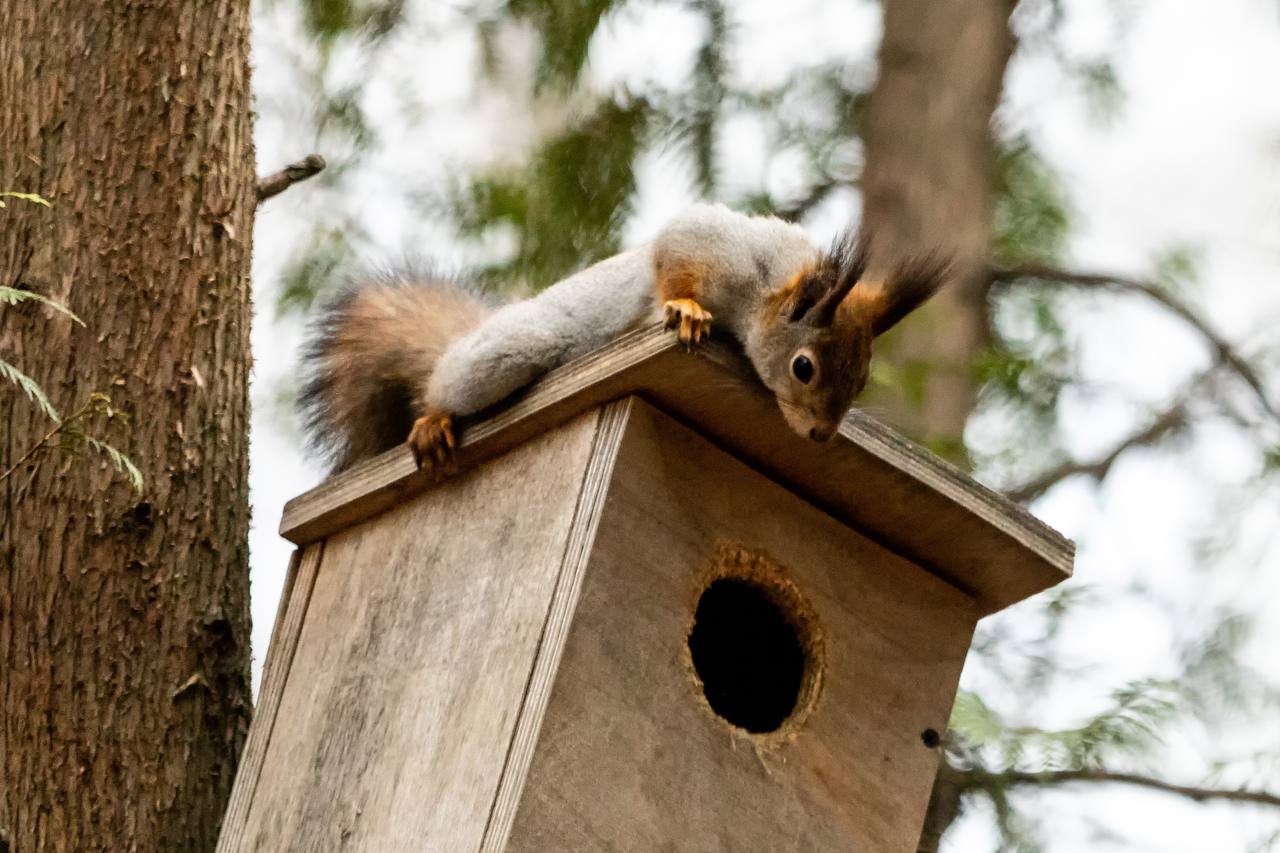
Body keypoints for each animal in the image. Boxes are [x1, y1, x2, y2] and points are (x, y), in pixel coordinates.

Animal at [296, 203, 942, 473]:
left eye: (861, 381)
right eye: (803, 368)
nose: (819, 435)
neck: (775, 282)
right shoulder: (710, 242)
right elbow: (673, 256)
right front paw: (684, 308)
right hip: (510, 350)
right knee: (446, 382)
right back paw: (434, 419)